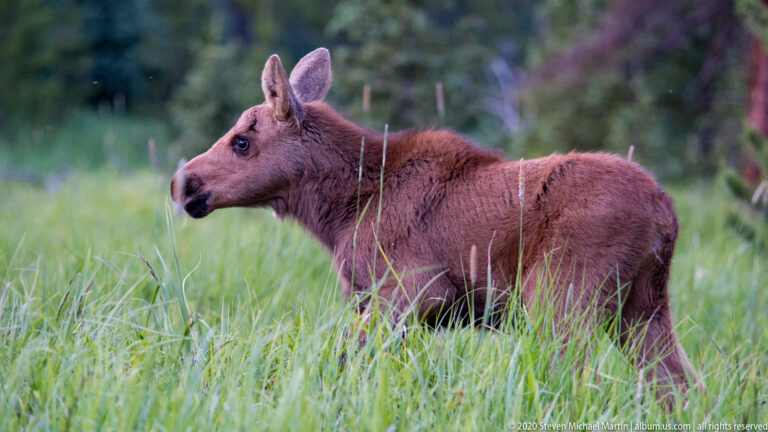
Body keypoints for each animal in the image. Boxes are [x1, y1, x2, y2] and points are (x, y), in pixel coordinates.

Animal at [170, 48, 700, 408]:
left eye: (241, 142)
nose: (183, 183)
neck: (338, 211)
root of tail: (666, 216)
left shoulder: (414, 287)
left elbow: (345, 359)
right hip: (644, 306)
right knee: (681, 386)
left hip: (559, 296)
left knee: (573, 377)